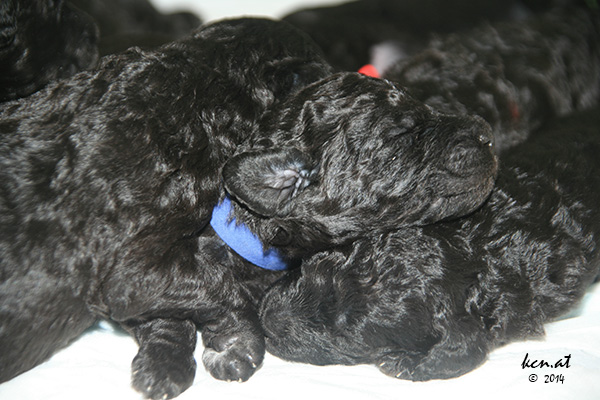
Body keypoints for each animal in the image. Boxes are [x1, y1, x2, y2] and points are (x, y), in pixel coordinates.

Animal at [0, 15, 498, 400]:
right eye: (402, 137)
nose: (485, 133)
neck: (196, 80)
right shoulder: (130, 274)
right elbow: (209, 294)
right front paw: (223, 343)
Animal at [260, 106, 600, 380]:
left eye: (344, 334)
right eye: (311, 268)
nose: (266, 320)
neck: (475, 248)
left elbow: (465, 350)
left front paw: (402, 363)